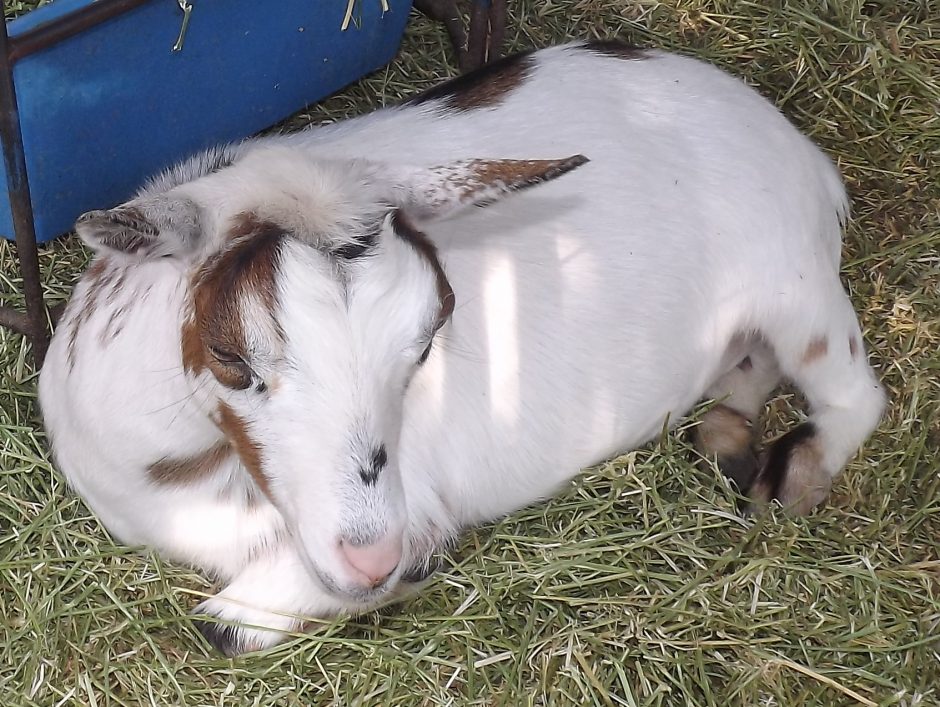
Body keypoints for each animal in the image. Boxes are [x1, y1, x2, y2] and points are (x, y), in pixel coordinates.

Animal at [39, 41, 886, 655]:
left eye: (426, 338)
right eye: (231, 357)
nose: (376, 557)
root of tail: (804, 152)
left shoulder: (417, 500)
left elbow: (220, 624)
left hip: (795, 285)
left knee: (854, 391)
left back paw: (788, 479)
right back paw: (725, 432)